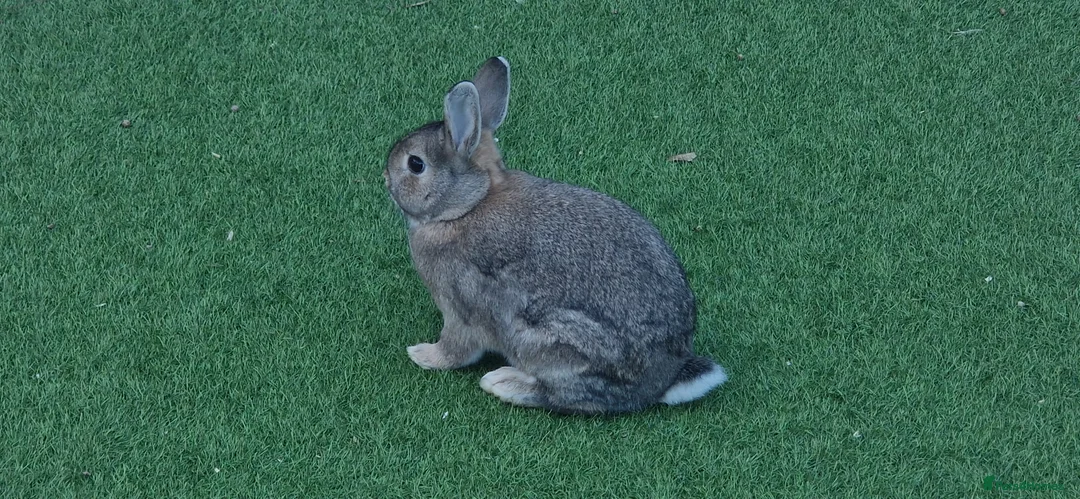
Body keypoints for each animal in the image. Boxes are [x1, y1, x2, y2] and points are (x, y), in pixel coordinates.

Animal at [383, 56, 727, 414]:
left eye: (416, 164)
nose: (385, 177)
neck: (467, 206)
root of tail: (664, 380)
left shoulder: (460, 308)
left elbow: (455, 348)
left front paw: (423, 354)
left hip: (551, 342)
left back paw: (504, 383)